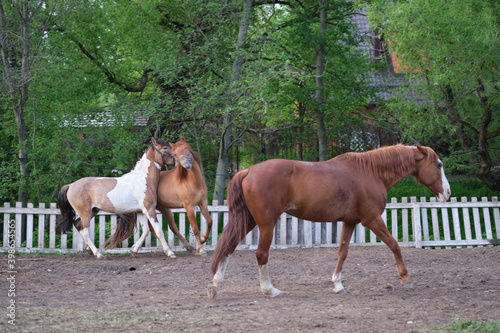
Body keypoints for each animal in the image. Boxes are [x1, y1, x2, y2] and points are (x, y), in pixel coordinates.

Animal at [206, 144, 450, 296]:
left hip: (248, 221)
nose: (447, 192)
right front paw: (405, 279)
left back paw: (216, 284)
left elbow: (342, 252)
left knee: (228, 246)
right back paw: (269, 290)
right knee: (260, 254)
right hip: (266, 224)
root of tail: (248, 170)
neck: (371, 172)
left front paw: (338, 285)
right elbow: (394, 245)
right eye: (438, 165)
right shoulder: (372, 220)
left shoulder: (350, 222)